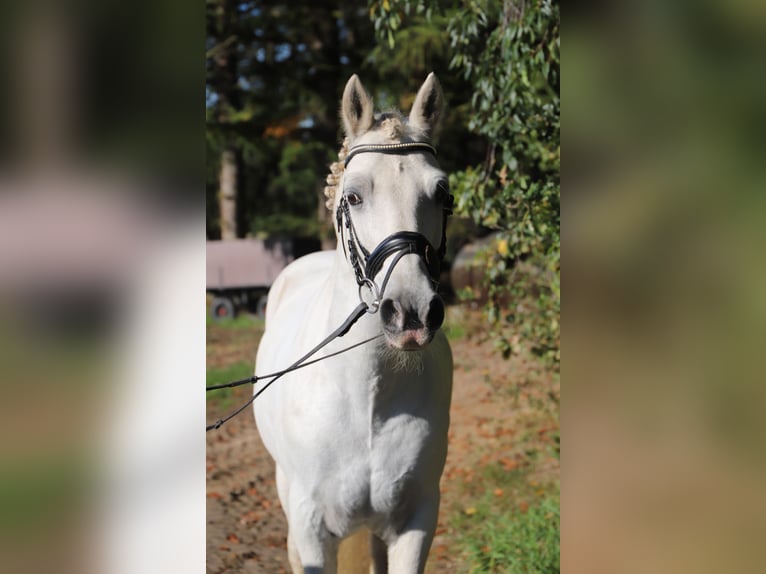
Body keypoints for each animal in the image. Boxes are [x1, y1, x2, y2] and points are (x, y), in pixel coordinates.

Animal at [254, 73, 453, 574]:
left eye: (442, 195)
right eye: (354, 196)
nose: (412, 313)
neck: (368, 400)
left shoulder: (416, 522)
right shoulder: (311, 530)